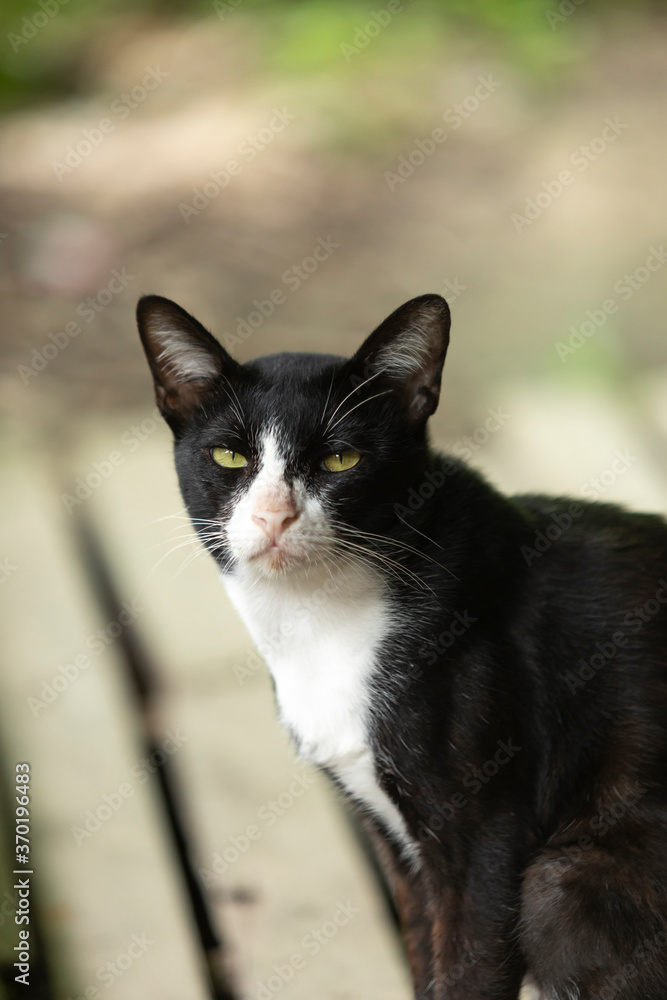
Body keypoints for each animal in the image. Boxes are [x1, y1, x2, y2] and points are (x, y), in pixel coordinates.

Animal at [136, 294, 667, 1000]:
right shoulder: (396, 844)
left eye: (341, 461)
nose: (274, 515)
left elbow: (468, 968)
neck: (318, 627)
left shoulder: (487, 835)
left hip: (567, 881)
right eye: (227, 456)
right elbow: (424, 954)